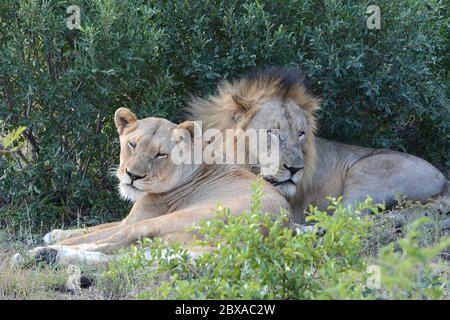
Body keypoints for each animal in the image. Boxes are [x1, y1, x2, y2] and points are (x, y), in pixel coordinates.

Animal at [17, 108, 290, 264]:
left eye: (160, 154)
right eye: (133, 144)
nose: (132, 175)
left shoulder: (137, 219)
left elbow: (95, 232)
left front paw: (54, 239)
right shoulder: (130, 217)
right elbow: (94, 226)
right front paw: (56, 233)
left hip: (163, 223)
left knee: (111, 245)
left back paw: (37, 253)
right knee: (120, 257)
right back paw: (46, 255)